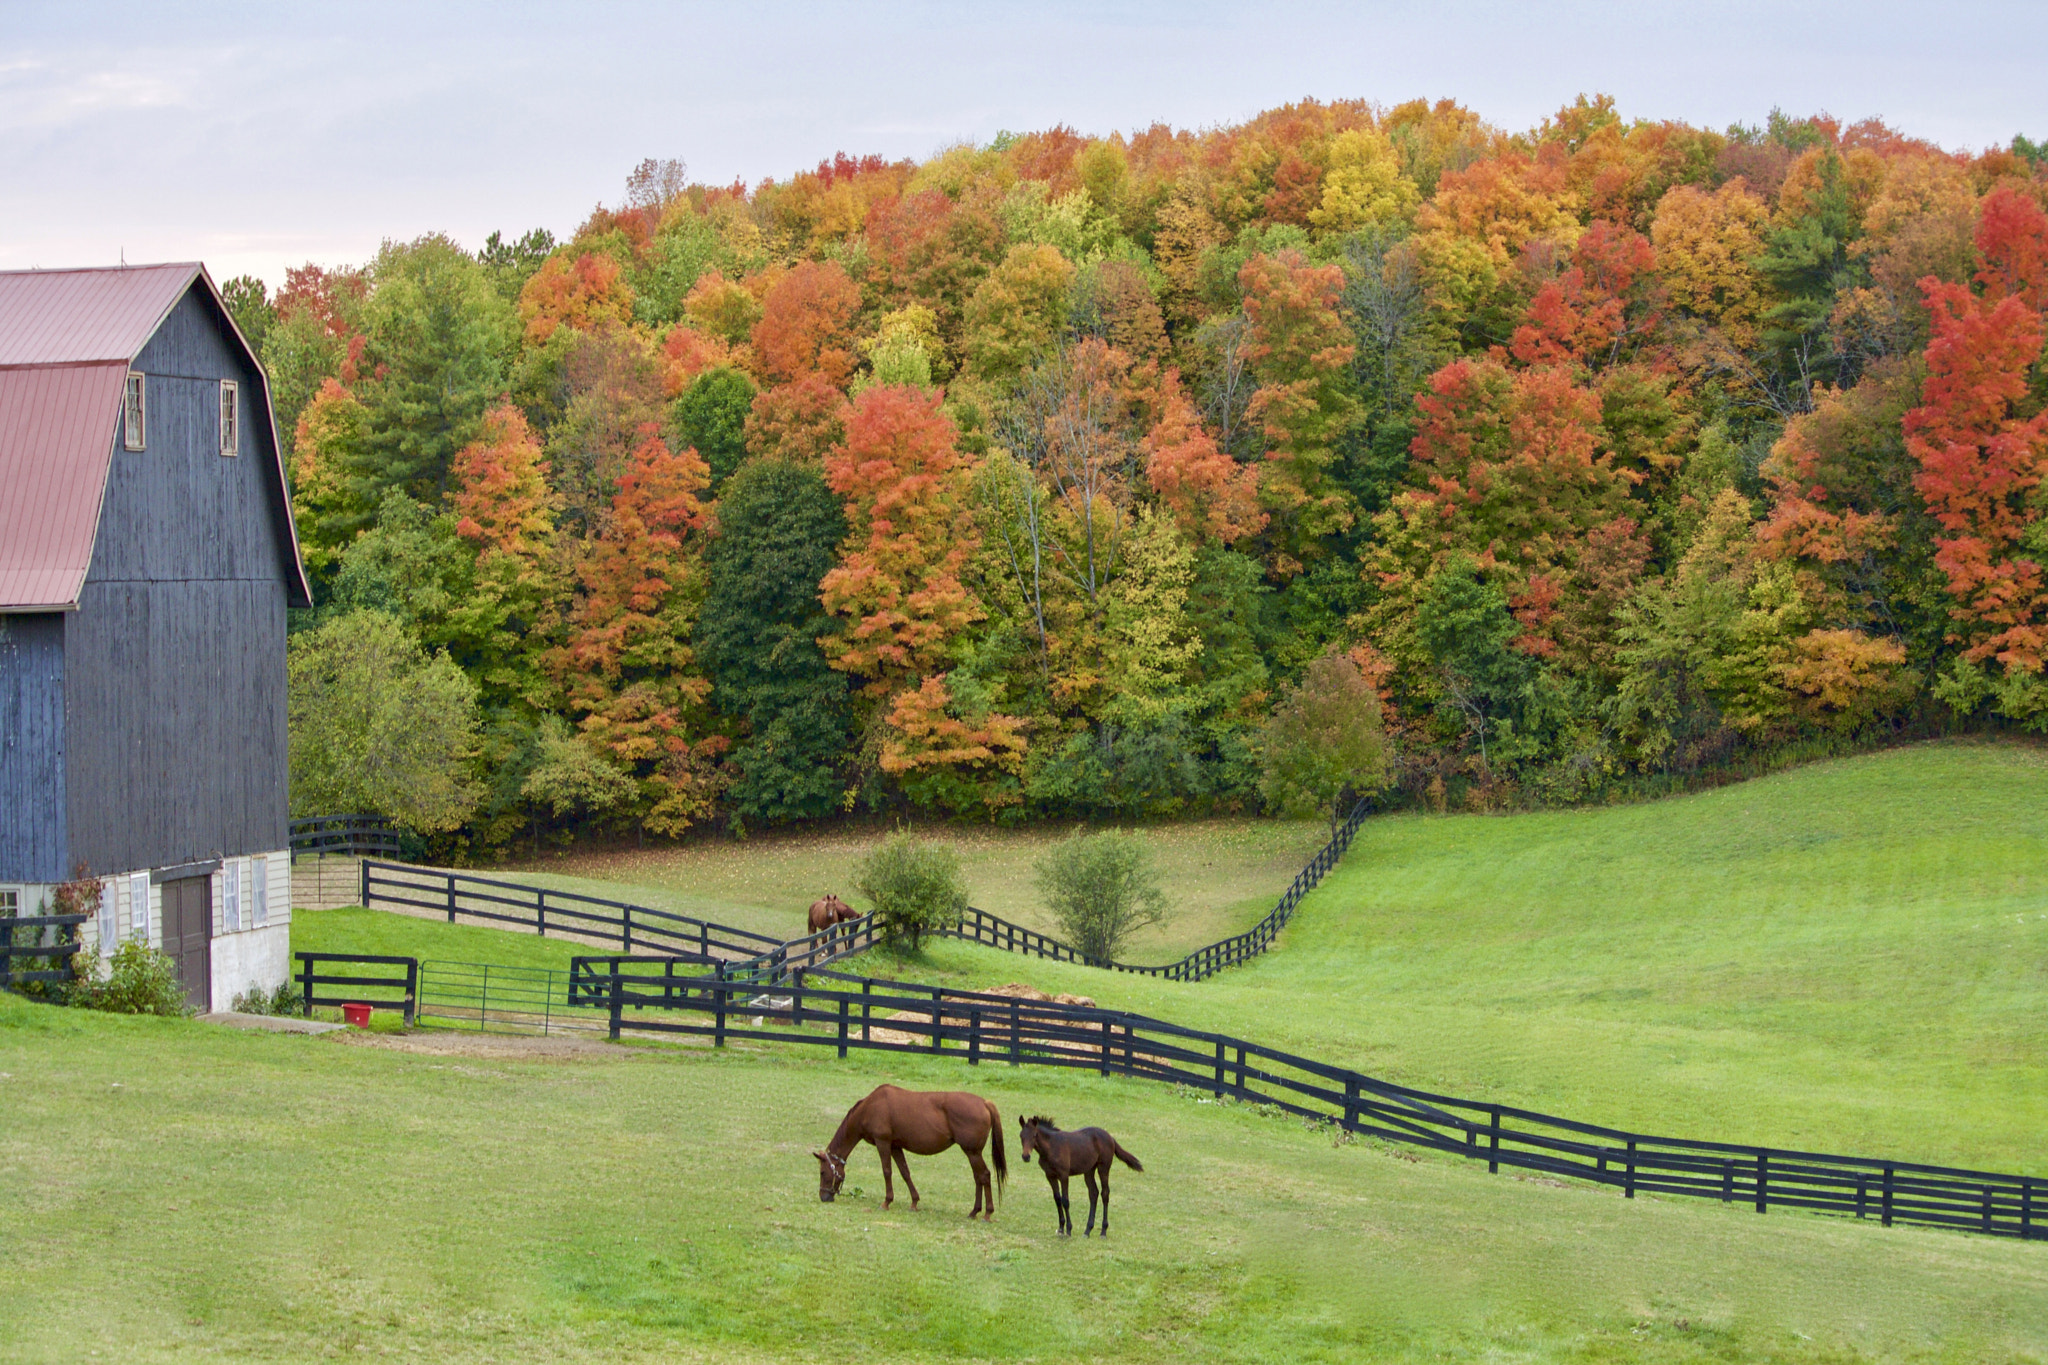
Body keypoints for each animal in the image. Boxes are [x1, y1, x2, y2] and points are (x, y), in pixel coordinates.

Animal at [813, 1085, 1006, 1218]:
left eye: (822, 1172)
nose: (824, 1196)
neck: (870, 1106)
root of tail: (984, 1103)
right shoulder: (895, 1146)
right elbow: (905, 1172)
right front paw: (914, 1202)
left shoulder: (883, 1143)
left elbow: (887, 1171)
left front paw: (886, 1202)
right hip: (972, 1153)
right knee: (978, 1178)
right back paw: (974, 1211)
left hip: (972, 1152)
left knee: (984, 1176)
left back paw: (987, 1213)